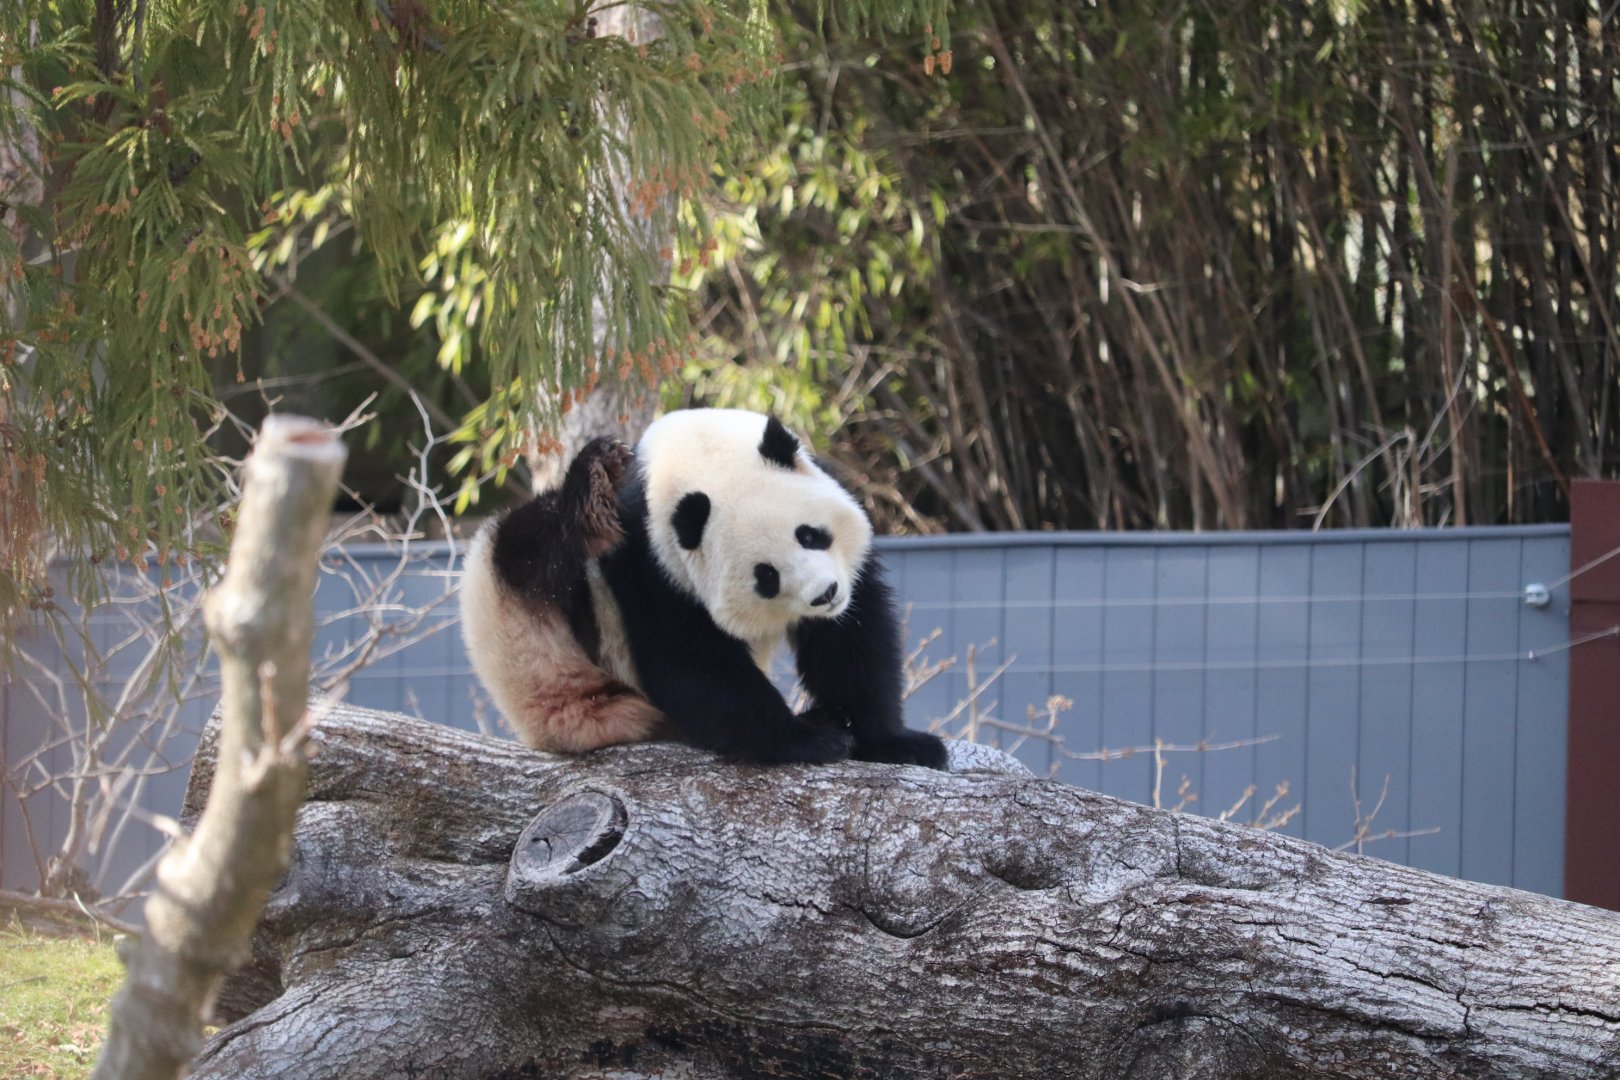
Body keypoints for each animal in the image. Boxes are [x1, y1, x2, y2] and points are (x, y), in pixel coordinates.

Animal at [460, 407, 948, 769]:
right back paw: (588, 487)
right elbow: (693, 663)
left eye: (810, 535)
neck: (692, 456)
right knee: (531, 548)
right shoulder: (651, 562)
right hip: (526, 638)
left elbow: (850, 644)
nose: (824, 595)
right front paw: (809, 741)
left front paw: (895, 743)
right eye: (765, 575)